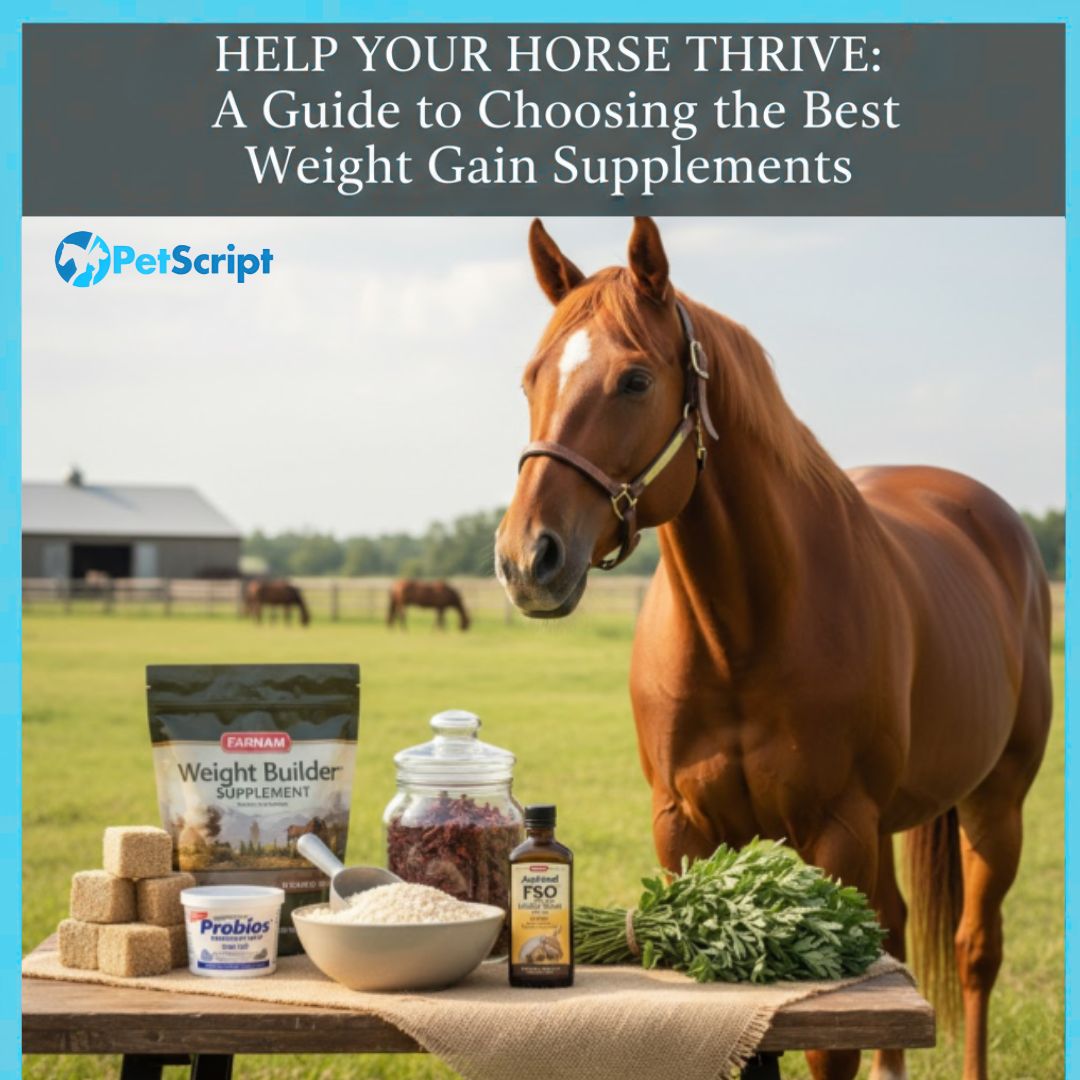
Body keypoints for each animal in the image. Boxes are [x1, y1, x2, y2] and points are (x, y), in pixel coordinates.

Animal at [495, 218, 1051, 1080]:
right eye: (531, 380)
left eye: (634, 381)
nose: (528, 560)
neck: (744, 635)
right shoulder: (685, 827)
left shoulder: (835, 829)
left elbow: (827, 1041)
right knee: (895, 928)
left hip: (997, 804)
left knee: (974, 952)